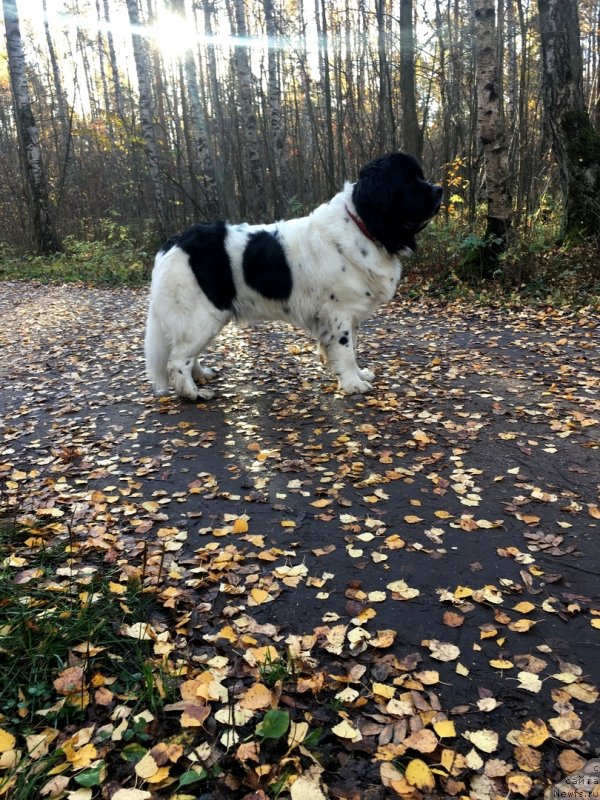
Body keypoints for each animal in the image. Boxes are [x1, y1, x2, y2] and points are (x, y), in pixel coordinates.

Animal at [145, 151, 440, 400]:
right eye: (408, 181)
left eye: (420, 177)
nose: (439, 190)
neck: (363, 225)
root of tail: (174, 241)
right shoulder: (339, 312)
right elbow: (346, 350)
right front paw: (352, 384)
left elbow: (353, 346)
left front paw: (359, 375)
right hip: (201, 316)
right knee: (178, 359)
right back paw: (193, 393)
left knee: (188, 354)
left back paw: (201, 376)